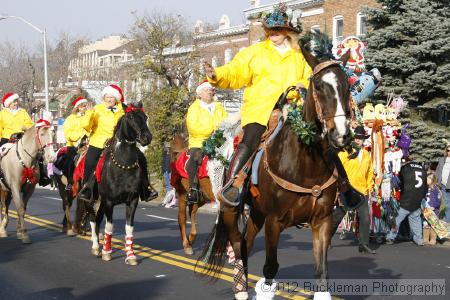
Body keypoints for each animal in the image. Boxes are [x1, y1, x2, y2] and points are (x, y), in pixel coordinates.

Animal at [197, 48, 352, 298]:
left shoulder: (322, 221)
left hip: (257, 212)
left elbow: (321, 271)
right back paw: (240, 288)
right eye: (319, 86)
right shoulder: (274, 222)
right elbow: (270, 267)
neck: (306, 164)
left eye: (347, 86)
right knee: (237, 243)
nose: (342, 135)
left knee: (246, 242)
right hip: (232, 210)